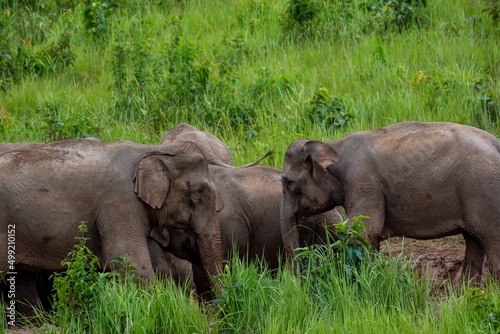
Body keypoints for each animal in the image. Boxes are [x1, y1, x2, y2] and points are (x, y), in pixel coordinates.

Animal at [280, 121, 500, 280]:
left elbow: (363, 232)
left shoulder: (363, 182)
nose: (296, 281)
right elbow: (371, 236)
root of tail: (495, 142)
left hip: (484, 191)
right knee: (474, 241)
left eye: (288, 182)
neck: (334, 145)